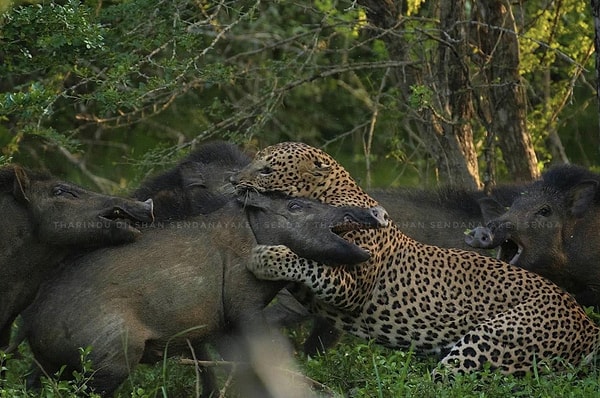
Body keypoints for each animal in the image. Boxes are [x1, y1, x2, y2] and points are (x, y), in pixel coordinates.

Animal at [232, 141, 600, 378]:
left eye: (266, 169)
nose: (234, 179)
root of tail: (585, 321)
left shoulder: (352, 286)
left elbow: (308, 264)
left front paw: (266, 256)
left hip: (489, 340)